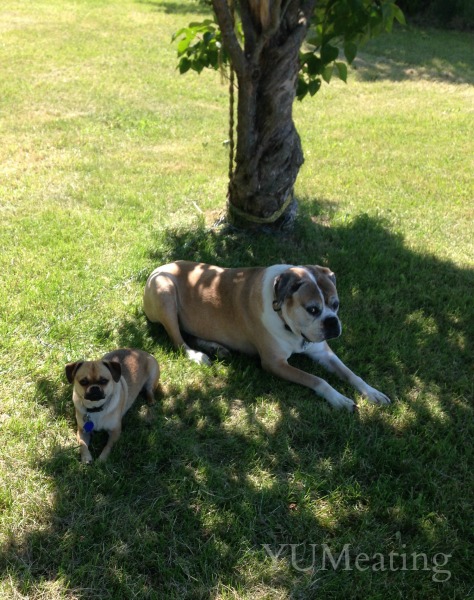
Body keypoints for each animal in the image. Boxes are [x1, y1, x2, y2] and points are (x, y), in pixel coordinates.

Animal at [143, 262, 388, 412]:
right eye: (312, 309)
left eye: (336, 305)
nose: (332, 322)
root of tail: (160, 267)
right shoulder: (275, 363)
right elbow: (318, 379)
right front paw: (339, 399)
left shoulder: (323, 352)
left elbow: (350, 373)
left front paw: (373, 392)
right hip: (165, 290)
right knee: (178, 340)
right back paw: (197, 355)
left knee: (189, 334)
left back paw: (215, 347)